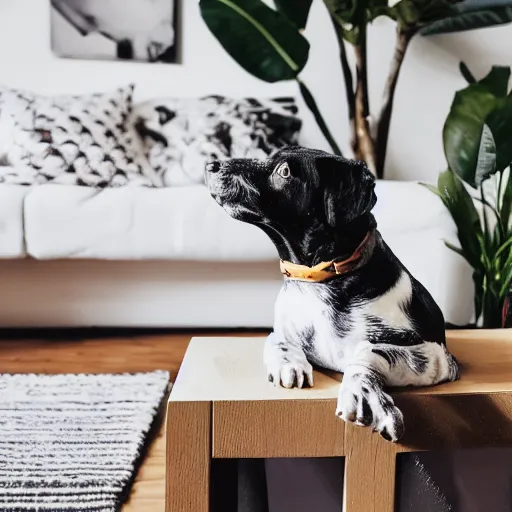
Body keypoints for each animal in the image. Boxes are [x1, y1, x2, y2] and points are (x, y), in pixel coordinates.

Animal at [204, 147, 460, 440]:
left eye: (284, 171)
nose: (211, 165)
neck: (318, 281)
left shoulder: (436, 355)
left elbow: (368, 351)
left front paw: (362, 393)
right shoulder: (282, 328)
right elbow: (275, 338)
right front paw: (289, 362)